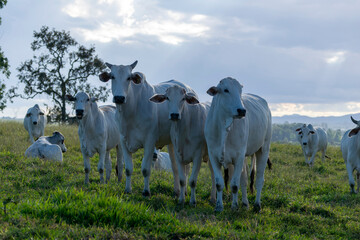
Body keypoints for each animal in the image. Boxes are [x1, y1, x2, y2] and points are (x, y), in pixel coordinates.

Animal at [204, 77, 272, 212]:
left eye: (240, 90)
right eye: (226, 90)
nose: (242, 110)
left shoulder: (238, 157)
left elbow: (234, 185)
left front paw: (234, 206)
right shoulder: (213, 156)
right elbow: (219, 183)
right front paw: (219, 206)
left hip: (263, 149)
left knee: (259, 180)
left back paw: (257, 205)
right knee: (244, 179)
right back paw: (245, 203)